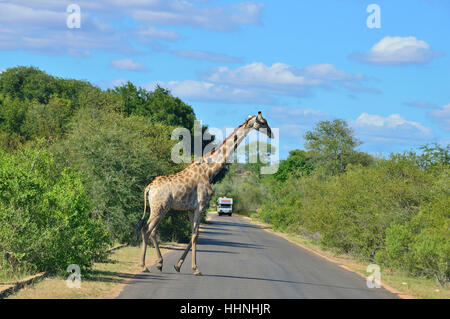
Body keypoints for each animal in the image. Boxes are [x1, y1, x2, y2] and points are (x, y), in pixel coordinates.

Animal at [137, 112, 272, 276]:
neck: (210, 170)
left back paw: (159, 263)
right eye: (263, 122)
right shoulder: (201, 205)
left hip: (160, 208)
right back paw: (144, 266)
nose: (271, 133)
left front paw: (178, 266)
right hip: (160, 207)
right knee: (147, 229)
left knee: (151, 230)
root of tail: (149, 188)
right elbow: (196, 234)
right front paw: (195, 269)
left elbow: (193, 234)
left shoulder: (190, 208)